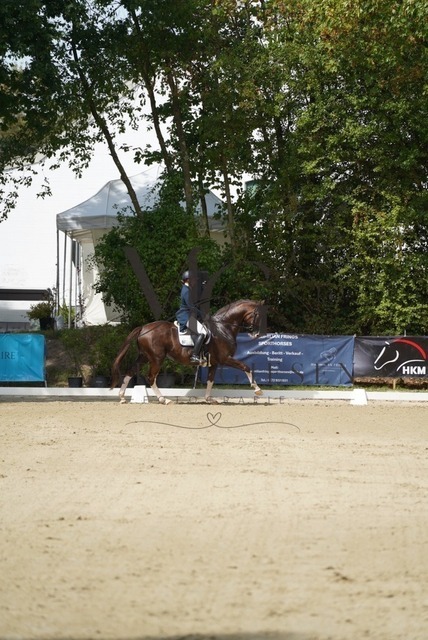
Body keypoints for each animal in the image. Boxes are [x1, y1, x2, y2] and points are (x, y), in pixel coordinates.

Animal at [110, 299, 265, 404]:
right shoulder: (225, 358)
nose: (257, 334)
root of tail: (143, 328)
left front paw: (209, 399)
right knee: (151, 377)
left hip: (144, 357)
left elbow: (210, 380)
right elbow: (246, 367)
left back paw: (122, 397)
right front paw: (257, 389)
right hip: (156, 358)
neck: (223, 328)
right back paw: (163, 399)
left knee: (130, 371)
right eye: (257, 315)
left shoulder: (214, 363)